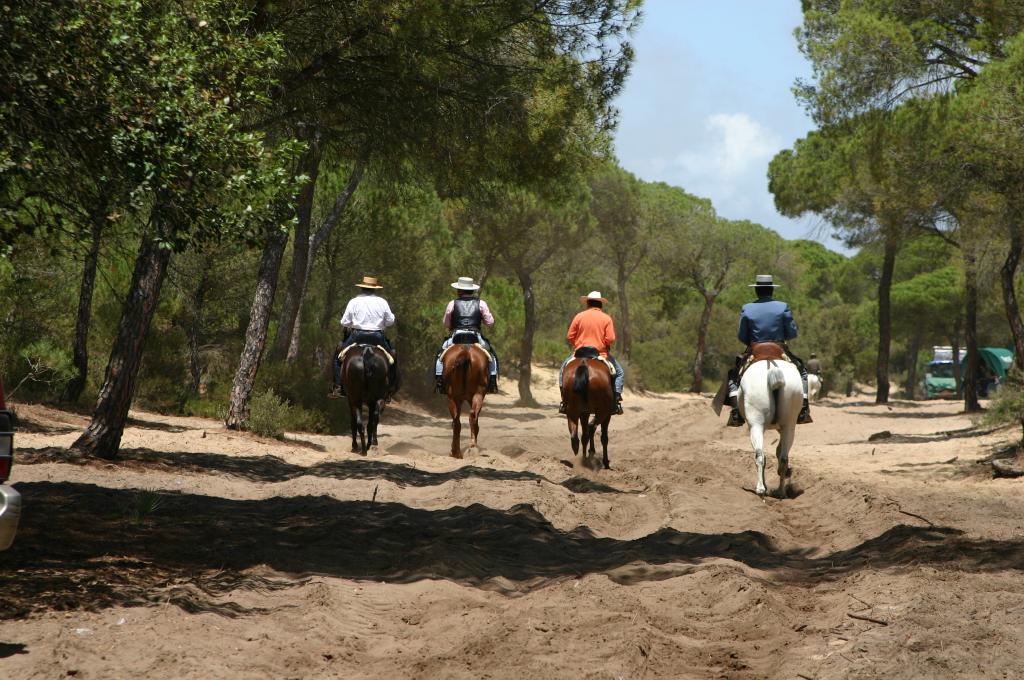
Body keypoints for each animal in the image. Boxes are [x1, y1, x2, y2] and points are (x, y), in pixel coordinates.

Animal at [741, 358, 802, 497]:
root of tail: (773, 370)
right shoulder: (782, 427)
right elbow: (779, 450)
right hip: (789, 424)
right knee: (784, 457)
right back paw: (781, 491)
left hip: (756, 424)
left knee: (759, 455)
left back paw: (760, 489)